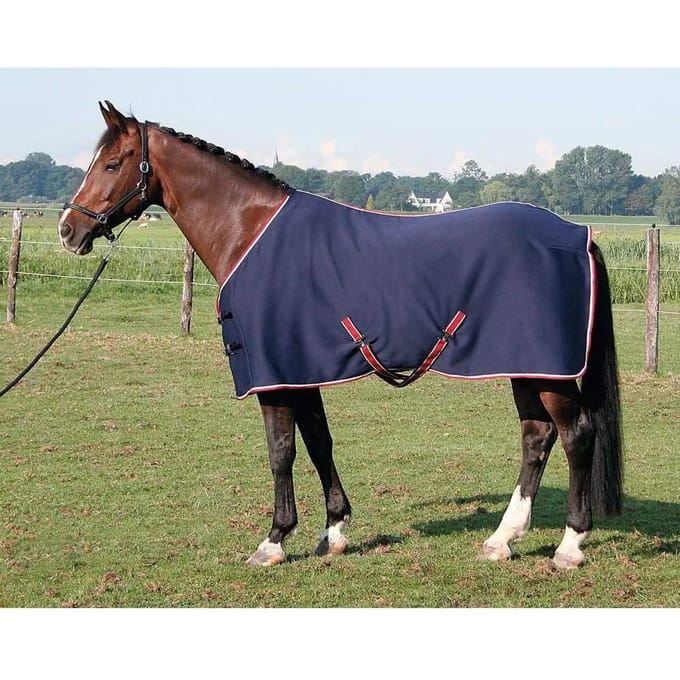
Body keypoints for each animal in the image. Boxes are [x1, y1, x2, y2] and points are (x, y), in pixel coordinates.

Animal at [58, 101, 623, 569]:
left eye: (113, 164)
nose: (68, 229)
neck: (251, 232)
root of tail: (578, 235)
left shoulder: (275, 376)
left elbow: (281, 450)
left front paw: (274, 541)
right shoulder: (300, 370)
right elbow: (318, 443)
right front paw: (333, 532)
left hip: (546, 371)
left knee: (575, 436)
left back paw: (570, 546)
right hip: (524, 365)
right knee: (536, 438)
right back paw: (502, 540)